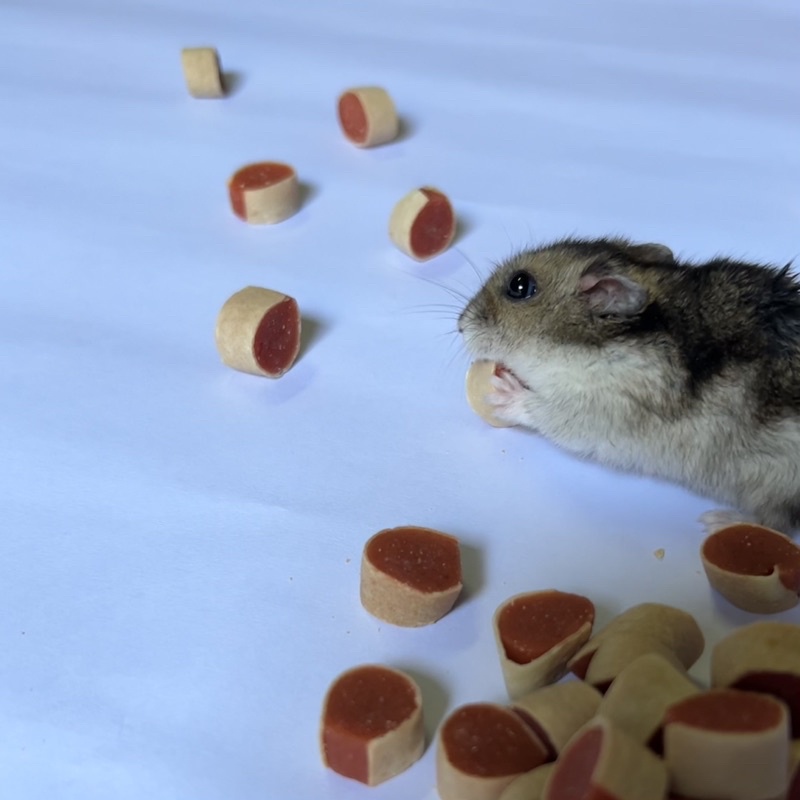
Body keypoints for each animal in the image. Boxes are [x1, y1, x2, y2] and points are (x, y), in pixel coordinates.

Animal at [458, 236, 800, 533]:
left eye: (519, 285)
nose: (459, 326)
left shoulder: (599, 409)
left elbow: (544, 411)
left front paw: (503, 392)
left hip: (772, 483)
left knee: (776, 522)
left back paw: (719, 522)